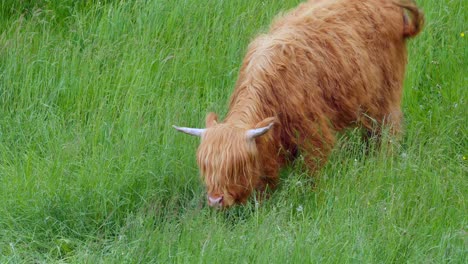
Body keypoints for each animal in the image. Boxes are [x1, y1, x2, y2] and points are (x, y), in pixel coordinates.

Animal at [173, 0, 424, 207]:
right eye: (206, 166)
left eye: (237, 166)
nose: (215, 199)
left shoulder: (313, 131)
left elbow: (314, 168)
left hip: (387, 92)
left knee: (389, 127)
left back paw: (384, 159)